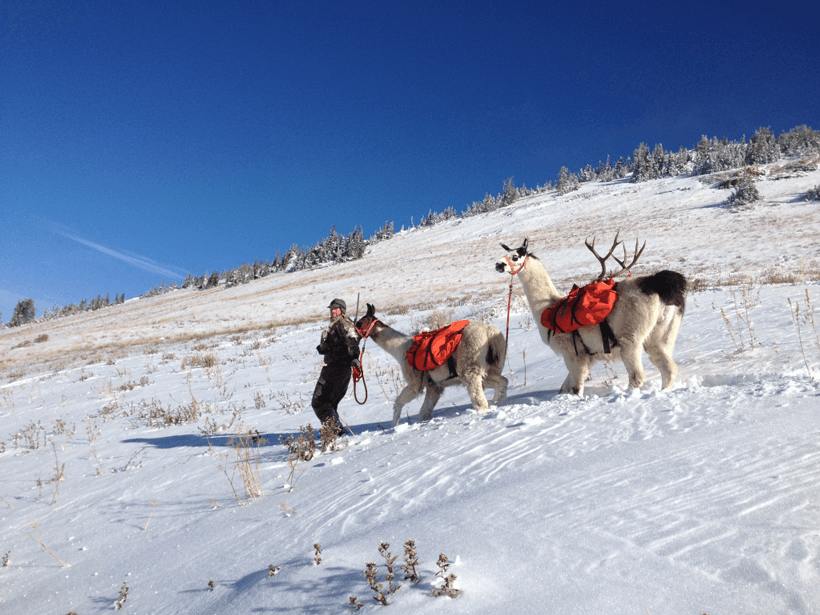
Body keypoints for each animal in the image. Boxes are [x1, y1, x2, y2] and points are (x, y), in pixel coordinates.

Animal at [354, 304, 508, 427]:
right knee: (502, 381)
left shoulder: (415, 383)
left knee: (479, 396)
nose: (351, 333)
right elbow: (424, 413)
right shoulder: (434, 386)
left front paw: (393, 425)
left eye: (360, 323)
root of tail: (490, 332)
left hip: (469, 366)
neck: (402, 349)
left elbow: (399, 402)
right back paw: (497, 402)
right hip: (491, 367)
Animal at [496, 233, 686, 397]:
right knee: (669, 368)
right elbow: (564, 387)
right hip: (660, 336)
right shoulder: (587, 357)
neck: (547, 308)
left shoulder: (573, 354)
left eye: (515, 256)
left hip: (630, 339)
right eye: (505, 252)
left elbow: (576, 387)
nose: (498, 265)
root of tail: (658, 285)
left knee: (638, 376)